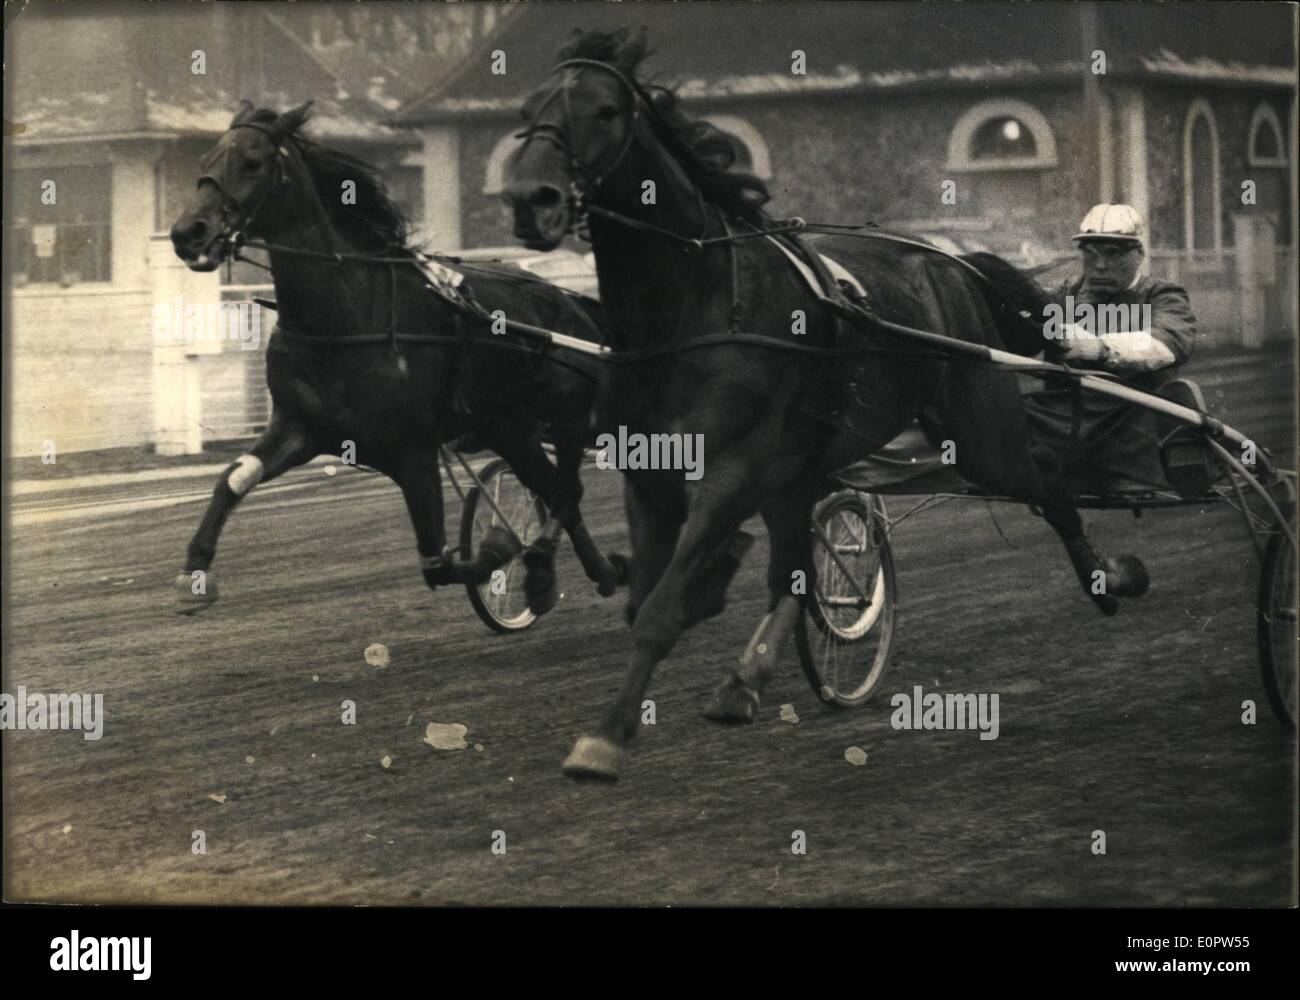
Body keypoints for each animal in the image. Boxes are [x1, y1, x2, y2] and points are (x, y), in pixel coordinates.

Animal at [169, 101, 624, 616]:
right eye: (205, 160)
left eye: (253, 162)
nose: (188, 232)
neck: (343, 318)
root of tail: (572, 304)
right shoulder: (299, 426)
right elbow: (232, 478)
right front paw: (195, 570)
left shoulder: (414, 448)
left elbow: (440, 563)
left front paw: (498, 544)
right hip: (509, 426)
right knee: (557, 490)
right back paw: (591, 573)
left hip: (561, 418)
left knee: (567, 489)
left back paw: (547, 567)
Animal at [506, 29, 1149, 780]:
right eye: (526, 110)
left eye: (606, 111)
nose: (531, 198)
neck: (692, 308)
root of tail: (952, 263)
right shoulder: (652, 475)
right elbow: (648, 599)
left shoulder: (731, 474)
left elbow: (663, 608)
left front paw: (604, 738)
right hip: (802, 466)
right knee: (792, 566)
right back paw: (745, 680)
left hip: (979, 431)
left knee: (1046, 484)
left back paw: (1110, 578)